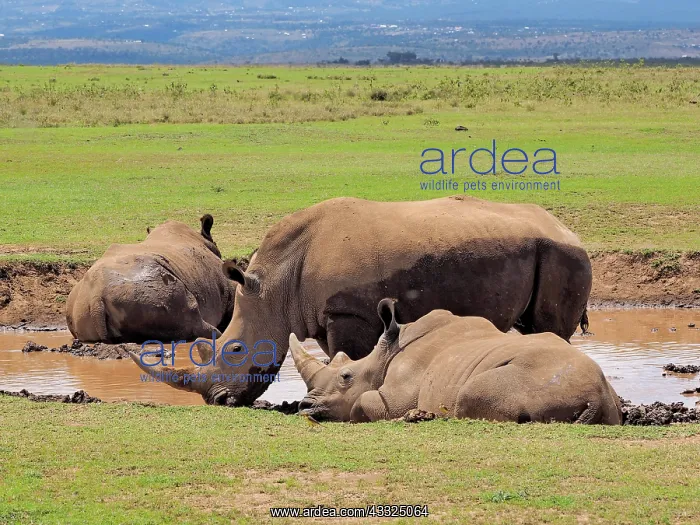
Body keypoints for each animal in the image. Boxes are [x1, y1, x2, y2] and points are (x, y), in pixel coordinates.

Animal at [132, 196, 592, 405]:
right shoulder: (322, 314)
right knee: (532, 329)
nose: (218, 400)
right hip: (542, 250)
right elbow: (332, 358)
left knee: (551, 329)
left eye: (235, 350)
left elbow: (351, 356)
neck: (276, 285)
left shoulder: (348, 312)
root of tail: (569, 230)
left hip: (563, 254)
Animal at [291, 299, 622, 424]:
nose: (304, 406)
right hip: (604, 395)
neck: (385, 356)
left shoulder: (394, 395)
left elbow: (364, 402)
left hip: (536, 378)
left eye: (346, 376)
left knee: (468, 396)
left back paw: (423, 417)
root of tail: (595, 397)